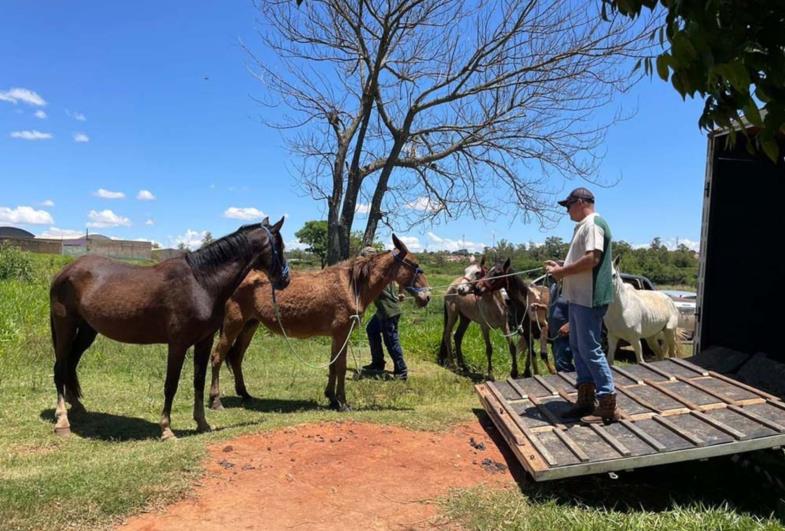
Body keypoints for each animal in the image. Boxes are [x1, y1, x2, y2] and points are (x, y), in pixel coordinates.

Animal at [49, 217, 290, 440]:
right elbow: (170, 384)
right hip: (65, 327)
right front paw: (166, 429)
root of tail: (65, 271)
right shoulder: (178, 344)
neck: (200, 284)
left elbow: (198, 381)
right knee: (60, 367)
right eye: (279, 245)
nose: (285, 279)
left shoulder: (204, 341)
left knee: (70, 364)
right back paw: (62, 421)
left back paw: (77, 406)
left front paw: (202, 422)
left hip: (87, 331)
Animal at [208, 235, 428, 414]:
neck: (352, 286)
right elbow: (340, 367)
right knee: (218, 357)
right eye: (414, 264)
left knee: (236, 357)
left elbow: (333, 365)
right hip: (233, 324)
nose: (426, 297)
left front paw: (331, 398)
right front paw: (342, 402)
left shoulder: (338, 336)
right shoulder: (342, 334)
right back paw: (215, 401)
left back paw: (245, 394)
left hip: (249, 326)